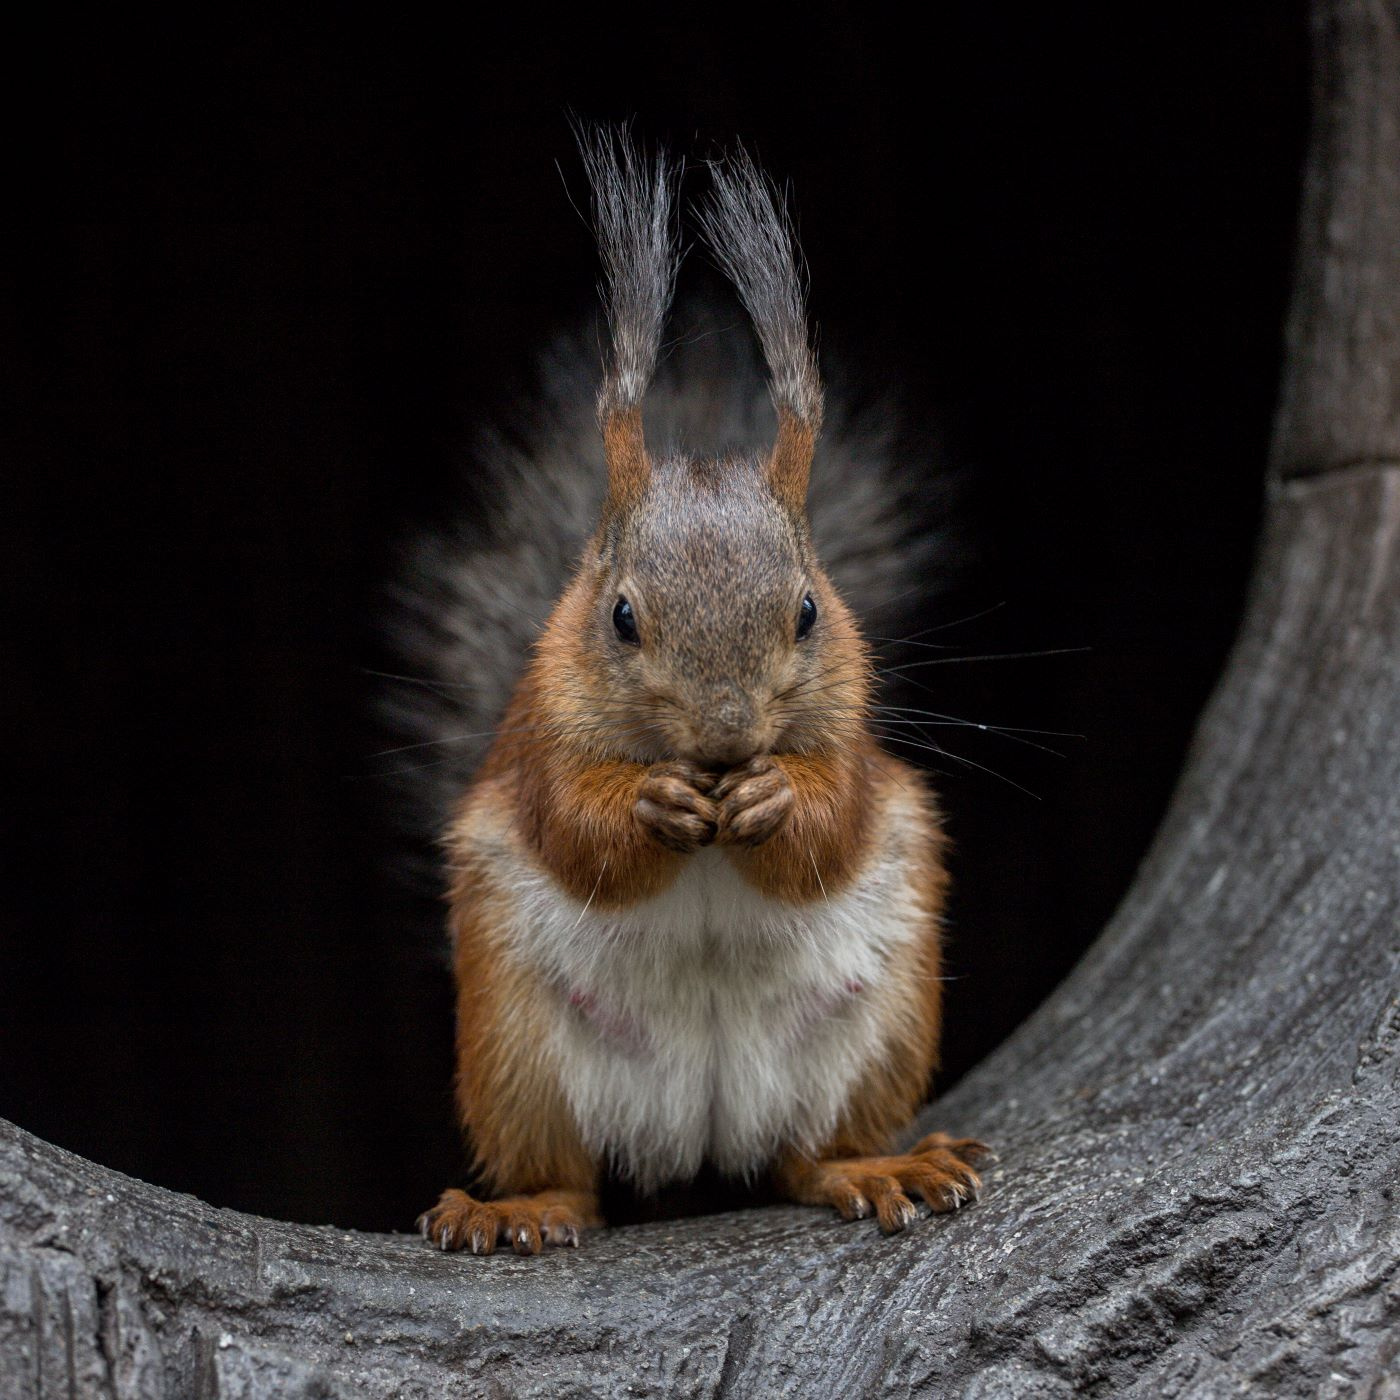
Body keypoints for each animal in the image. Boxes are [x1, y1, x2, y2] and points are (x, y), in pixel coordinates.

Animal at [407, 127, 988, 1255]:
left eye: (808, 610)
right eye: (621, 616)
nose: (723, 743)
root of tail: (700, 1135)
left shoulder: (858, 750)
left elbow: (837, 819)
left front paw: (774, 798)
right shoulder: (536, 742)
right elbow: (571, 828)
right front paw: (651, 802)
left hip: (879, 1026)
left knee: (808, 1159)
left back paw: (878, 1165)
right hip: (513, 1050)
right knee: (572, 1181)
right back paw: (520, 1208)